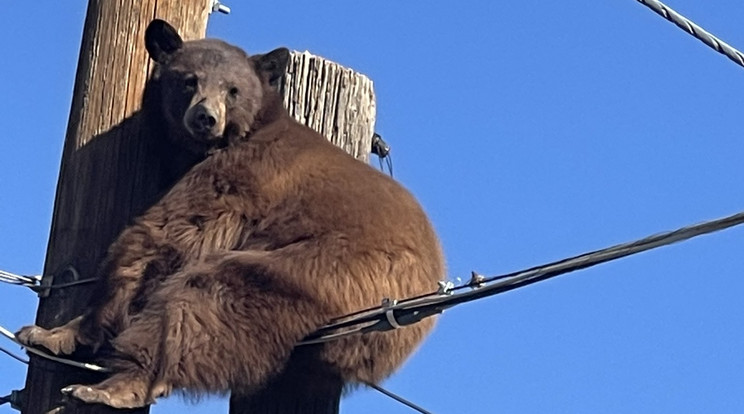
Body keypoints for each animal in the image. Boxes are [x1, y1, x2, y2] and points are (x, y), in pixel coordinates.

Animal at [17, 18, 444, 408]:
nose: (205, 117)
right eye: (189, 80)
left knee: (208, 298)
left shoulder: (239, 178)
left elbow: (166, 235)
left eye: (232, 90)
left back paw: (114, 386)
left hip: (334, 270)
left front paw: (54, 333)